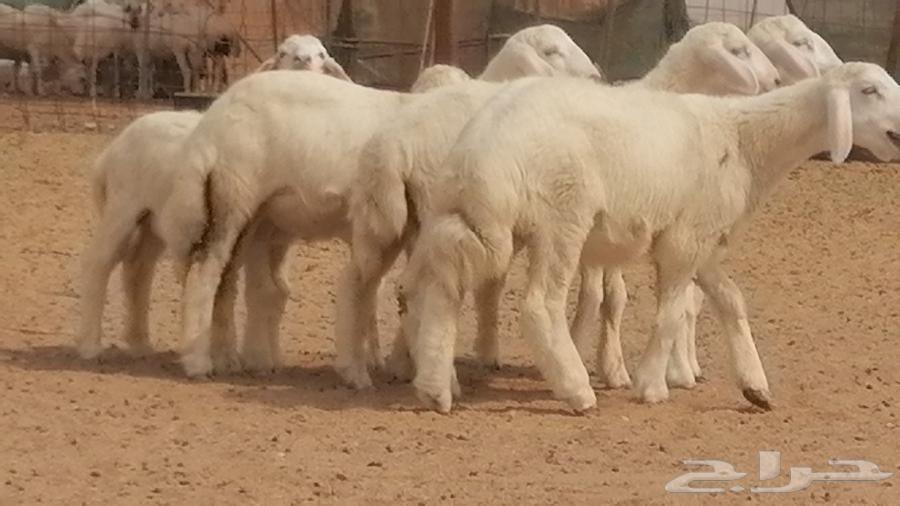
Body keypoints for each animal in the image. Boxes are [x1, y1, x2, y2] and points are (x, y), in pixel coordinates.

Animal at [171, 24, 603, 381]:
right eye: (551, 51)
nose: (597, 78)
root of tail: (216, 114)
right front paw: (411, 362)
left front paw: (402, 361)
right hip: (234, 195)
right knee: (207, 271)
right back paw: (198, 362)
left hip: (254, 212)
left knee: (229, 279)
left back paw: (232, 358)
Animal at [341, 21, 783, 393]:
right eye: (739, 50)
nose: (777, 80)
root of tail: (394, 143)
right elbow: (611, 297)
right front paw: (612, 366)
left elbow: (613, 295)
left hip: (405, 220)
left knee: (395, 283)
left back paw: (403, 363)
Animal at [400, 62, 900, 413]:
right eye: (868, 90)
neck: (743, 141)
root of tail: (481, 152)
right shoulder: (686, 239)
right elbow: (672, 313)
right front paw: (651, 386)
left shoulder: (704, 241)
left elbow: (730, 301)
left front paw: (755, 384)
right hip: (562, 218)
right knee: (540, 305)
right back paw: (577, 391)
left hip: (464, 218)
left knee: (439, 288)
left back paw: (434, 388)